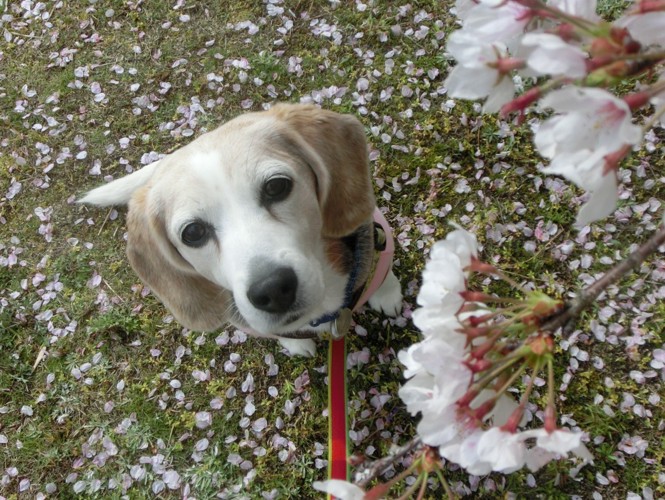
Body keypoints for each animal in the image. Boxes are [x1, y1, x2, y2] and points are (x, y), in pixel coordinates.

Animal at [78, 103, 400, 358]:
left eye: (276, 186)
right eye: (193, 233)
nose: (272, 289)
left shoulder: (375, 237)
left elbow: (383, 273)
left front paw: (388, 296)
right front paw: (295, 344)